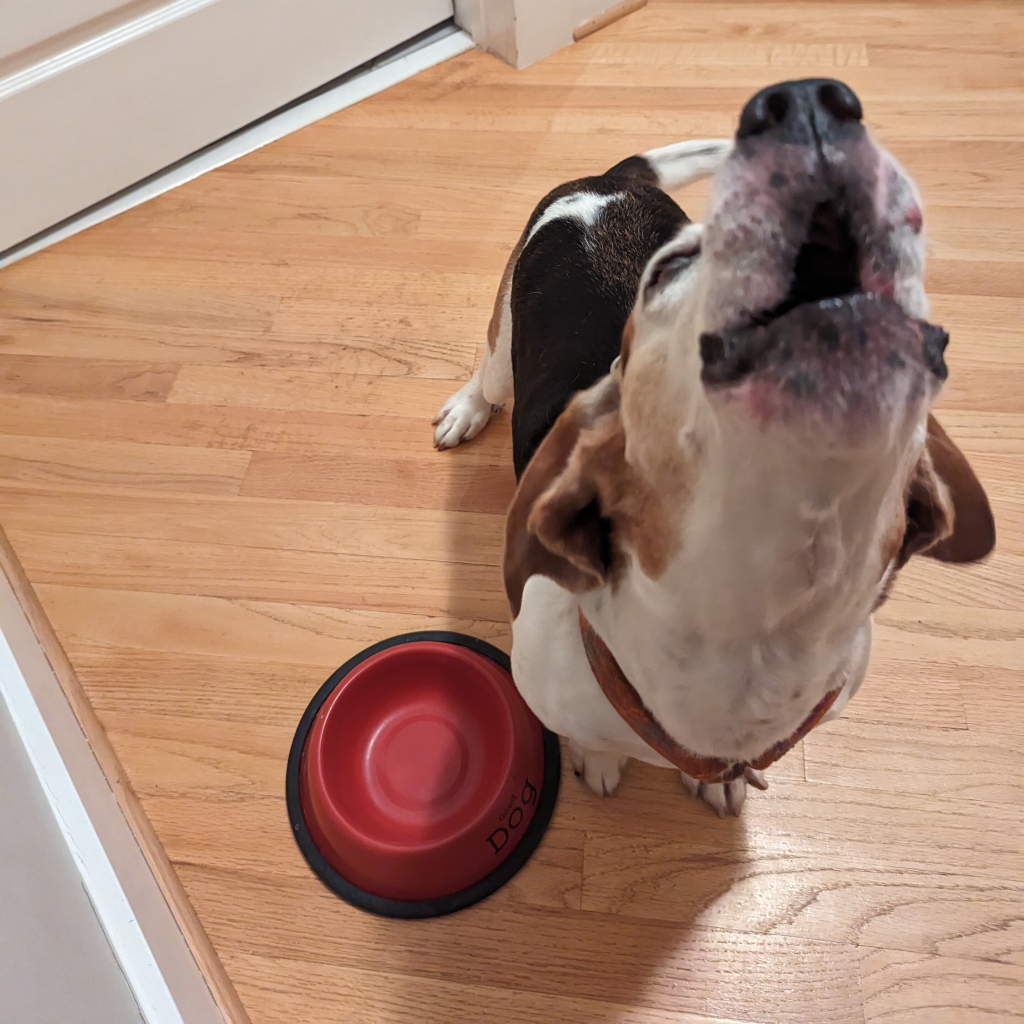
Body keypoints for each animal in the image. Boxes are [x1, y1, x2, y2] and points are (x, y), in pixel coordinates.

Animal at [430, 79, 991, 815]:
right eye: (676, 269)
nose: (806, 102)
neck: (751, 635)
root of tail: (608, 184)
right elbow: (592, 739)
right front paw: (599, 760)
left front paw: (710, 780)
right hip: (504, 349)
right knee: (488, 373)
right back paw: (465, 410)